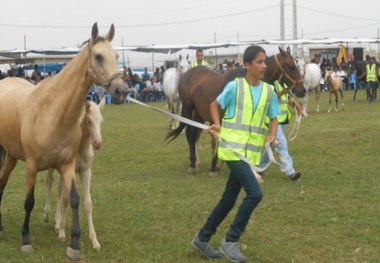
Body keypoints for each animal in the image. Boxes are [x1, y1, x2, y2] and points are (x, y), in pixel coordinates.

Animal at [44, 99, 106, 252]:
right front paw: (62, 233)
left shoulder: (86, 171)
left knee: (59, 189)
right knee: (49, 182)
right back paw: (47, 215)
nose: (97, 143)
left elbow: (87, 203)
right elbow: (66, 199)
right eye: (89, 121)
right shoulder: (67, 171)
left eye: (101, 121)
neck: (80, 148)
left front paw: (94, 241)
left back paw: (57, 222)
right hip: (51, 165)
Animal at [166, 46, 306, 177]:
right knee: (190, 133)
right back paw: (192, 164)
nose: (303, 90)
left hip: (199, 113)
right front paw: (214, 166)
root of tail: (187, 75)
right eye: (292, 66)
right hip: (188, 108)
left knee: (195, 134)